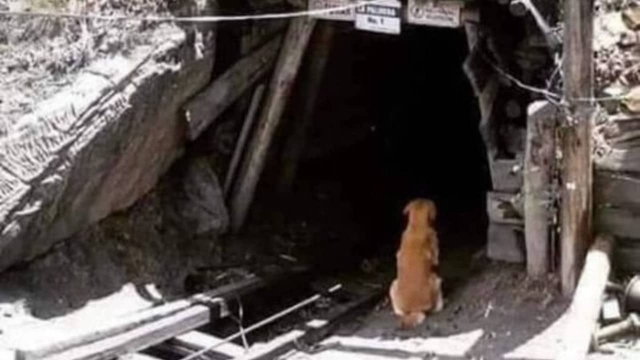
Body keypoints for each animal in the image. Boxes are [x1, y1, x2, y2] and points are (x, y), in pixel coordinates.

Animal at [388, 198, 442, 330]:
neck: (416, 226)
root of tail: (415, 310)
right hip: (436, 279)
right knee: (438, 306)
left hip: (393, 284)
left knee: (399, 312)